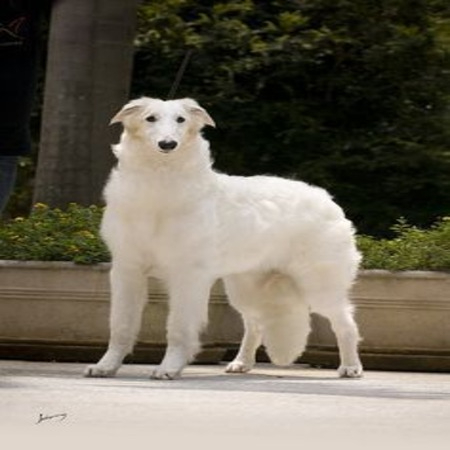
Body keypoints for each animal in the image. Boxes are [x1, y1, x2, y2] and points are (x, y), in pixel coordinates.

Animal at [84, 97, 364, 380]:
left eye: (181, 119)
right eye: (150, 118)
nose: (168, 144)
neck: (159, 182)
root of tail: (326, 198)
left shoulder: (188, 276)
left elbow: (179, 329)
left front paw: (168, 369)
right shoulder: (127, 270)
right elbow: (121, 327)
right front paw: (105, 366)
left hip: (319, 288)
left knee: (346, 323)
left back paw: (351, 367)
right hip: (245, 289)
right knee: (255, 325)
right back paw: (241, 363)